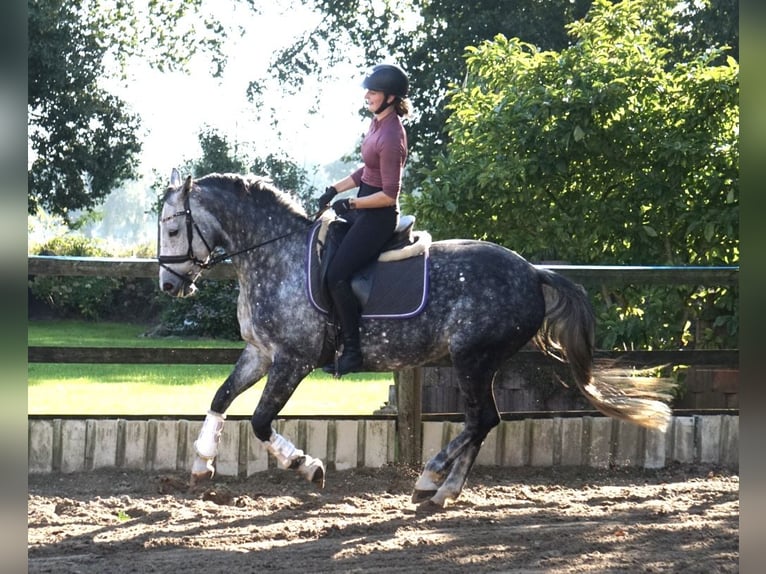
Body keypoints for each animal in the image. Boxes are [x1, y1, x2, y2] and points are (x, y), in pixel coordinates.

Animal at [157, 168, 673, 510]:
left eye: (174, 227)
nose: (168, 285)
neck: (273, 255)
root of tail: (532, 271)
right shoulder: (260, 354)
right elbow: (220, 397)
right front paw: (202, 463)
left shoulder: (293, 360)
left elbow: (262, 422)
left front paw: (307, 465)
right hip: (478, 362)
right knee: (483, 421)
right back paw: (443, 489)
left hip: (472, 358)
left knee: (482, 419)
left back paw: (431, 477)